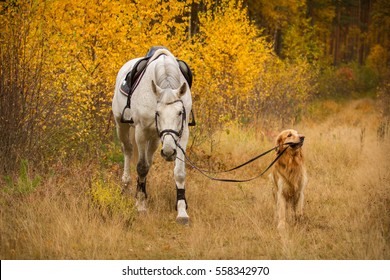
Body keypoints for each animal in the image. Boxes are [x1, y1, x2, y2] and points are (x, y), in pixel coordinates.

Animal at [111, 47, 192, 223]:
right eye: (158, 113)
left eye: (180, 112)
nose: (168, 152)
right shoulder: (141, 132)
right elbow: (141, 167)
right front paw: (141, 206)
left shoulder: (182, 133)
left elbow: (179, 173)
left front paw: (182, 211)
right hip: (121, 126)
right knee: (128, 150)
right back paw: (126, 185)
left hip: (155, 138)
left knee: (148, 160)